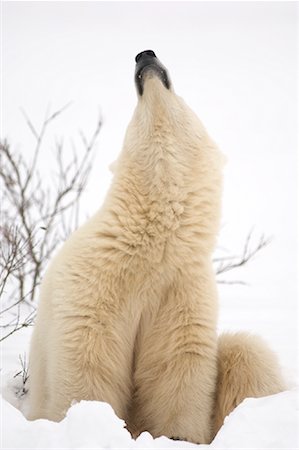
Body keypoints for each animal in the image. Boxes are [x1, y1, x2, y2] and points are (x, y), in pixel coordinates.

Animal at [26, 49, 286, 442]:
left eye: (182, 96)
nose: (145, 55)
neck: (152, 248)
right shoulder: (89, 288)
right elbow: (86, 365)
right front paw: (92, 421)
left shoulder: (181, 292)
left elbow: (176, 368)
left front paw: (178, 437)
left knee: (247, 350)